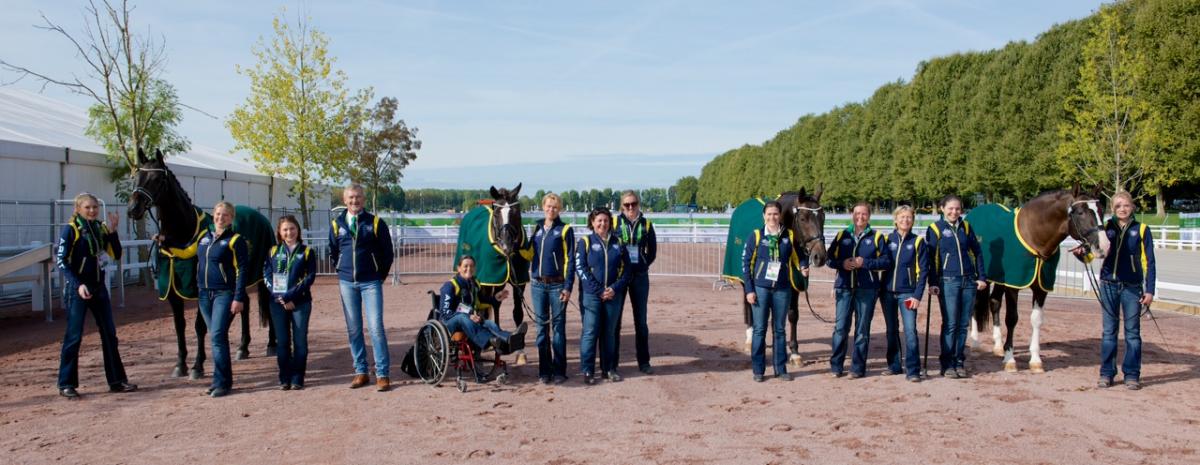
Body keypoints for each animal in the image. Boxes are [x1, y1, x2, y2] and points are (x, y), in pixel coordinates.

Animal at [127, 148, 277, 378]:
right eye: (136, 176)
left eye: (157, 179)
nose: (133, 208)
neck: (185, 234)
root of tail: (261, 218)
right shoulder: (172, 290)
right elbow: (179, 325)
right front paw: (180, 364)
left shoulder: (200, 288)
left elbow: (199, 326)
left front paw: (197, 366)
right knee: (243, 303)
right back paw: (242, 347)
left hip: (261, 274)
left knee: (266, 304)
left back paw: (271, 345)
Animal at [964, 185, 1104, 373]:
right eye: (1081, 212)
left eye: (1101, 210)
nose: (1103, 246)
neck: (1033, 235)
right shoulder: (1014, 284)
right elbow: (1012, 318)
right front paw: (1010, 360)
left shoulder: (1041, 287)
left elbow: (1036, 320)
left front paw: (1036, 361)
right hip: (979, 276)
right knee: (974, 304)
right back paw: (975, 343)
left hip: (1000, 279)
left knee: (994, 303)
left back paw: (998, 346)